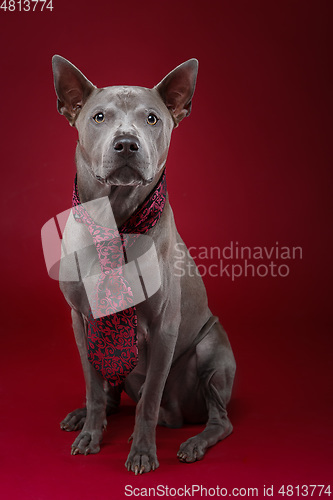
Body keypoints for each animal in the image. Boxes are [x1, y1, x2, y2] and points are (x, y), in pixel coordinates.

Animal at [50, 56, 235, 474]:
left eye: (152, 118)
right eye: (99, 116)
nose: (126, 143)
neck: (115, 219)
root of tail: (179, 414)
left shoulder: (164, 327)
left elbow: (148, 399)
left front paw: (143, 452)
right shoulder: (80, 320)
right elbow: (93, 385)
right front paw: (91, 432)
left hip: (211, 353)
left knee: (217, 420)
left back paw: (192, 442)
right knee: (111, 392)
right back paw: (83, 416)